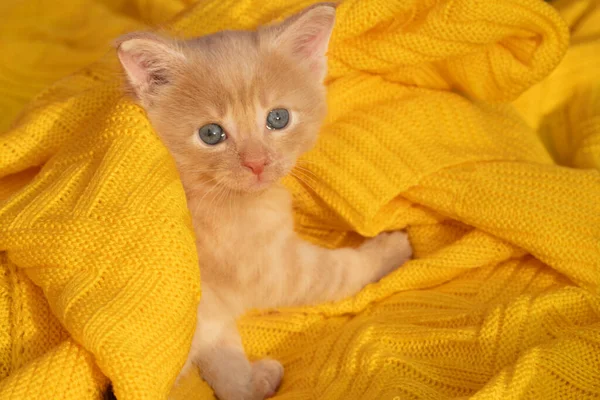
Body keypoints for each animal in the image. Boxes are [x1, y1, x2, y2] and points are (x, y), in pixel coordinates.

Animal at [115, 3, 410, 400]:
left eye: (278, 118)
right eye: (211, 134)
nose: (257, 163)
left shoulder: (211, 306)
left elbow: (221, 354)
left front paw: (247, 380)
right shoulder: (266, 267)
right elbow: (336, 272)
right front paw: (388, 251)